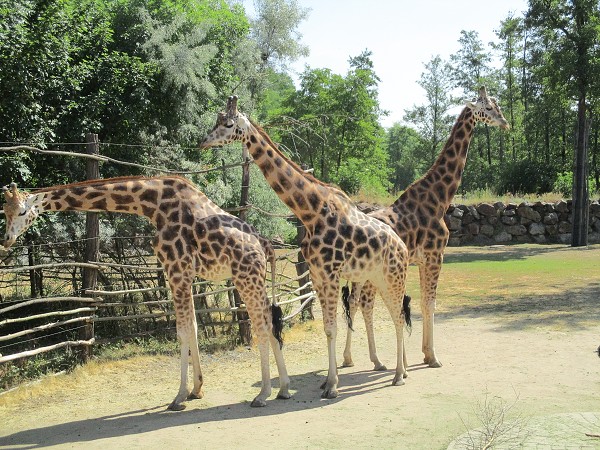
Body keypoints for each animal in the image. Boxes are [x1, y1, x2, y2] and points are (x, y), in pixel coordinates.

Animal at [0, 176, 290, 412]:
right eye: (4, 211)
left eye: (23, 211)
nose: (6, 240)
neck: (152, 205)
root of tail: (265, 244)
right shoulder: (183, 274)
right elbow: (194, 327)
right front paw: (197, 389)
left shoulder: (176, 269)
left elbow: (182, 331)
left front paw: (179, 397)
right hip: (255, 279)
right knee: (271, 323)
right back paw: (284, 389)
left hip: (245, 276)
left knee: (262, 326)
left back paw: (263, 394)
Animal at [202, 96, 412, 398]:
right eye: (216, 121)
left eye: (229, 124)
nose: (203, 142)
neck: (310, 212)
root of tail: (403, 247)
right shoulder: (317, 274)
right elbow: (327, 328)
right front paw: (327, 382)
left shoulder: (331, 273)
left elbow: (332, 327)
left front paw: (333, 386)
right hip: (378, 279)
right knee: (396, 315)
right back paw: (402, 371)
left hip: (394, 277)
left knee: (398, 316)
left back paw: (398, 376)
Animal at [342, 86, 506, 370]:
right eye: (487, 108)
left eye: (497, 105)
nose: (505, 123)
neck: (440, 198)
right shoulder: (435, 255)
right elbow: (430, 303)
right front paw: (433, 357)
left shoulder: (421, 260)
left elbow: (422, 302)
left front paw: (425, 353)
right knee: (363, 303)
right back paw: (373, 360)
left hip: (364, 273)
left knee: (356, 303)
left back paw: (355, 358)